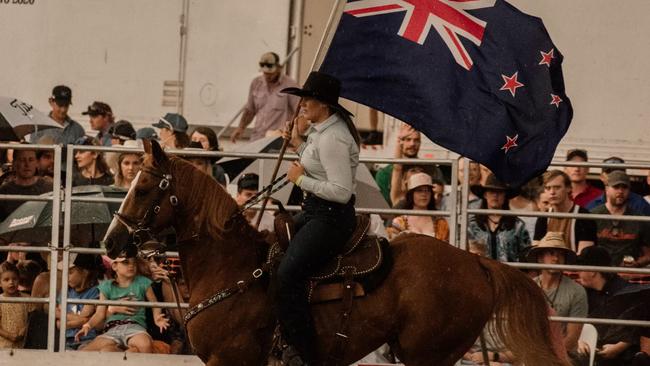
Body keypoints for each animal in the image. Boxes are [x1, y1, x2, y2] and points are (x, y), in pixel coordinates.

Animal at [102, 139, 568, 364]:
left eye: (142, 189)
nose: (109, 241)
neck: (231, 268)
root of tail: (474, 261)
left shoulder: (228, 360)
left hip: (428, 355)